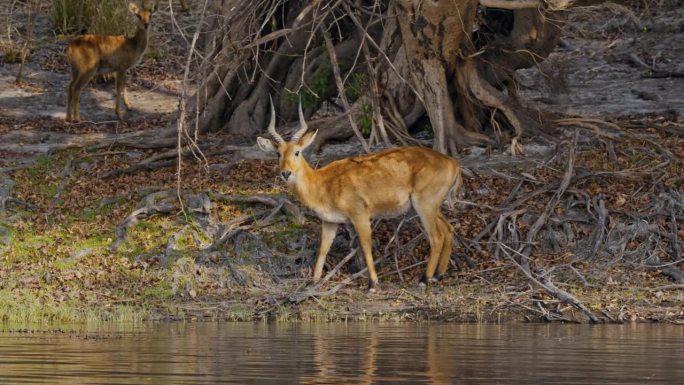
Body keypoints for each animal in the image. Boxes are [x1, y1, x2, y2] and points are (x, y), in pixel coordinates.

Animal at [258, 100, 464, 292]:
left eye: (297, 152)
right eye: (278, 153)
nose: (286, 173)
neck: (323, 182)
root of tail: (453, 163)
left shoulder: (360, 215)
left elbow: (365, 247)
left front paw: (373, 284)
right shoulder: (329, 221)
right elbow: (322, 250)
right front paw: (313, 282)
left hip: (424, 205)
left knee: (436, 237)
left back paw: (423, 280)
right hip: (428, 207)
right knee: (448, 229)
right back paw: (438, 275)